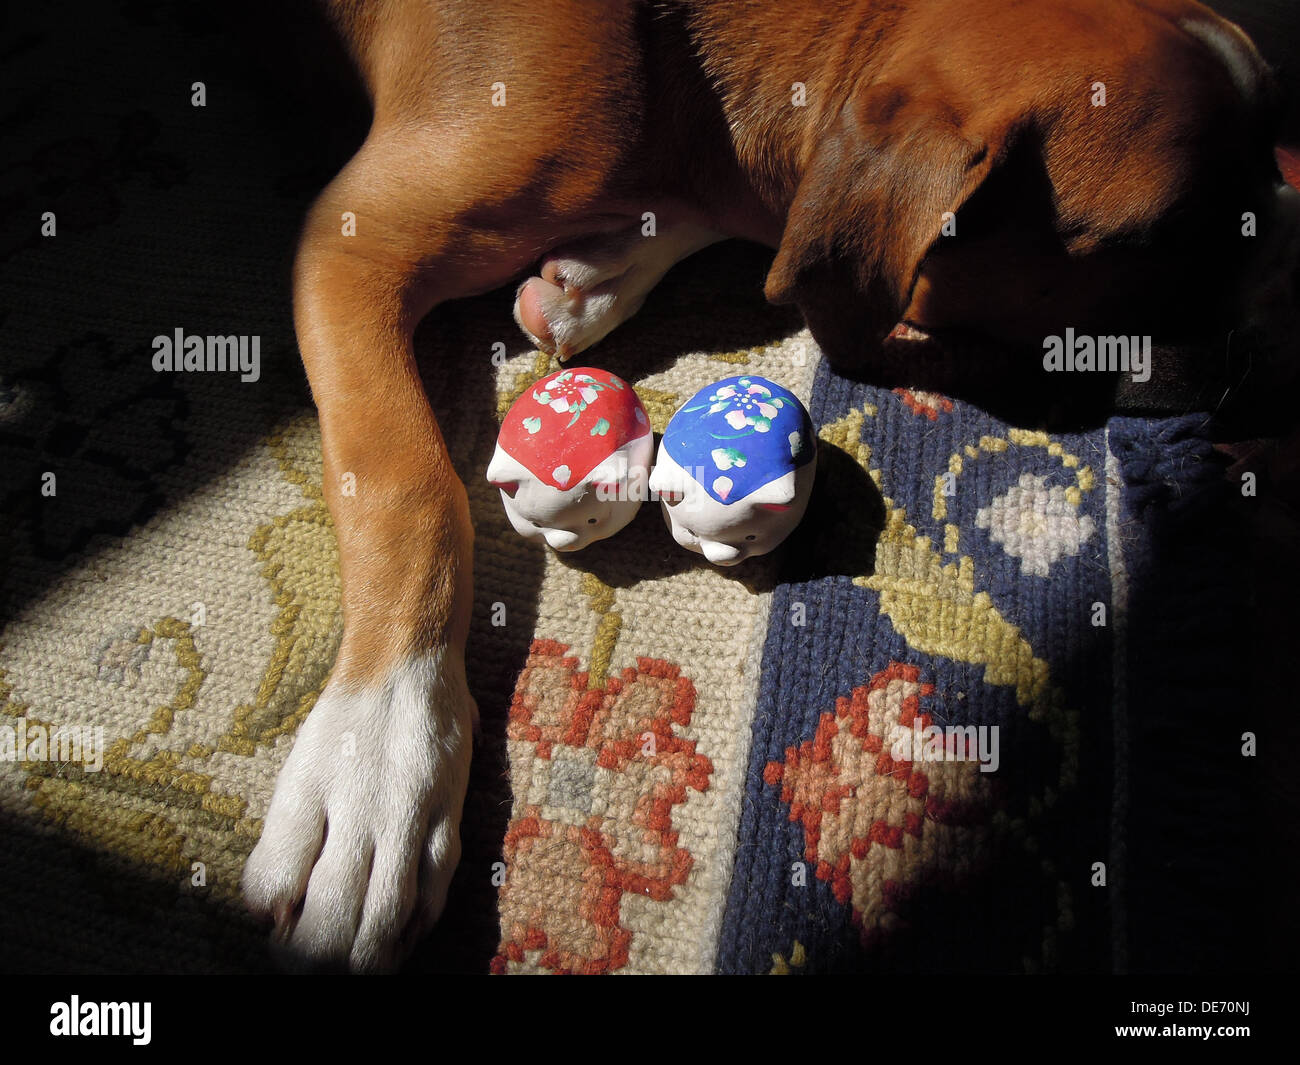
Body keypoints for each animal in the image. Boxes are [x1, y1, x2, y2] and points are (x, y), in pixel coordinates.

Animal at [239, 0, 1294, 972]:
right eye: (1159, 236)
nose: (1291, 297)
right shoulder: (353, 245)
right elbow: (409, 486)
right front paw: (381, 747)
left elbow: (752, 230)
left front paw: (602, 269)